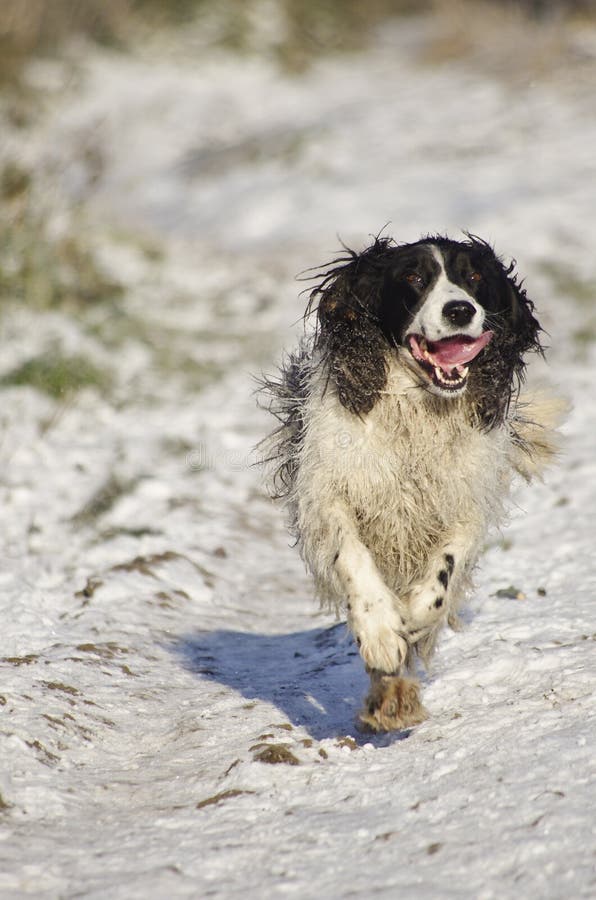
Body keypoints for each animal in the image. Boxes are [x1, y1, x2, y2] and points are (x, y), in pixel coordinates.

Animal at [260, 234, 560, 732]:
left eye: (473, 277)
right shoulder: (329, 492)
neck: (419, 410)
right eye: (414, 278)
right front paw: (381, 631)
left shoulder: (465, 501)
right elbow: (353, 559)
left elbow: (445, 567)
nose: (460, 310)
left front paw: (413, 616)